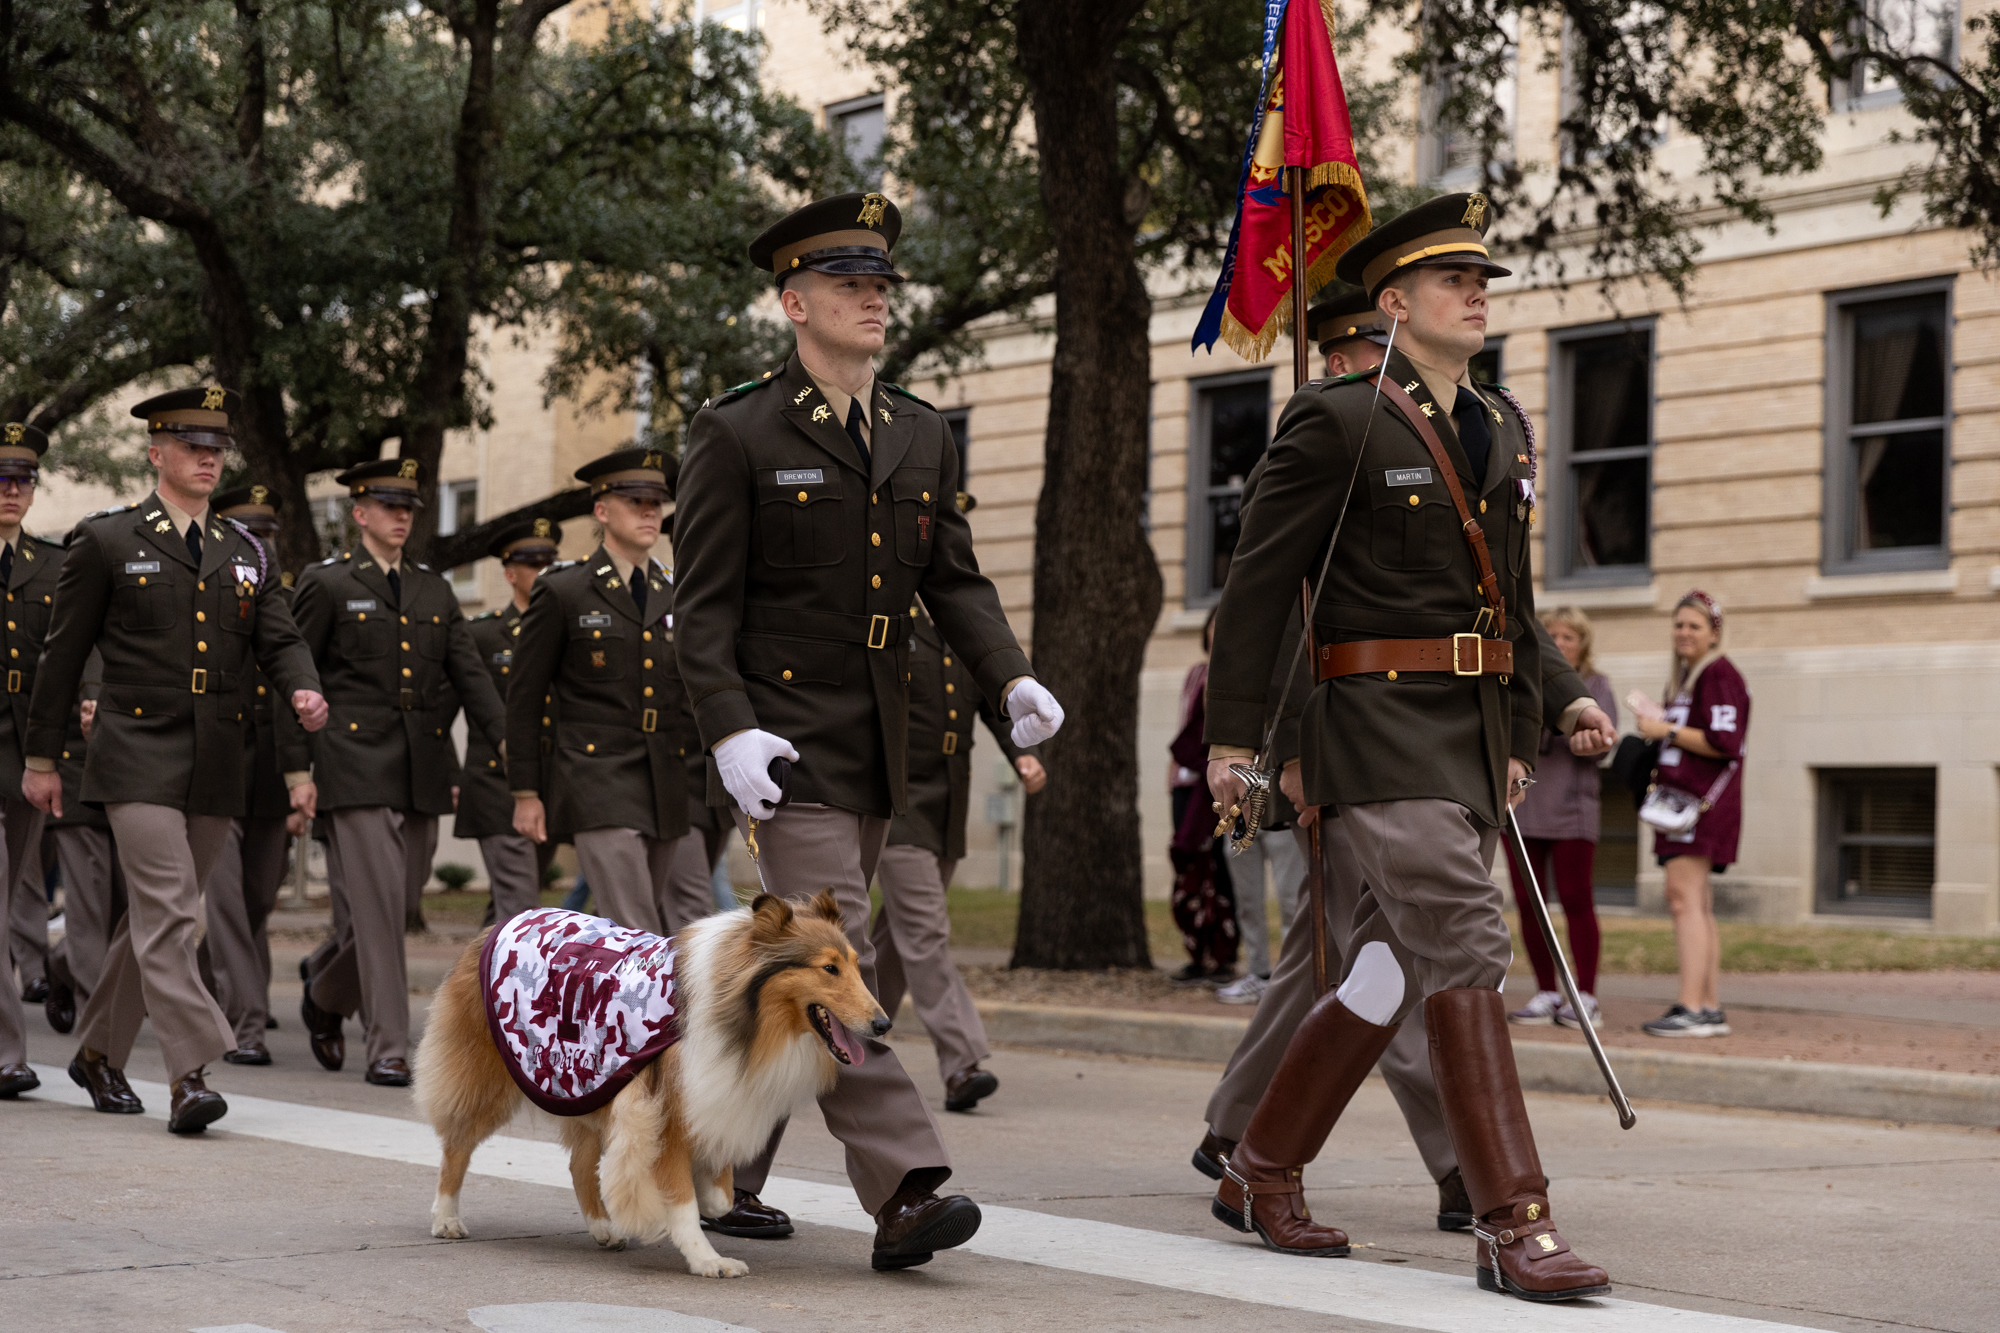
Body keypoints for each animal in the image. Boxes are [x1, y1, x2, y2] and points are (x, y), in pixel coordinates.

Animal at [412, 888, 884, 1272]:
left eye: (856, 966)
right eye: (829, 968)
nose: (883, 1024)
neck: (743, 1015)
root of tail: (500, 924)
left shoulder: (715, 1094)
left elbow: (718, 1191)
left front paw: (712, 1197)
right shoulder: (663, 1114)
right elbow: (680, 1200)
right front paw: (707, 1259)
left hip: (581, 1081)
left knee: (579, 1165)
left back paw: (603, 1228)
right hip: (492, 1077)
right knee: (456, 1147)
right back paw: (446, 1218)